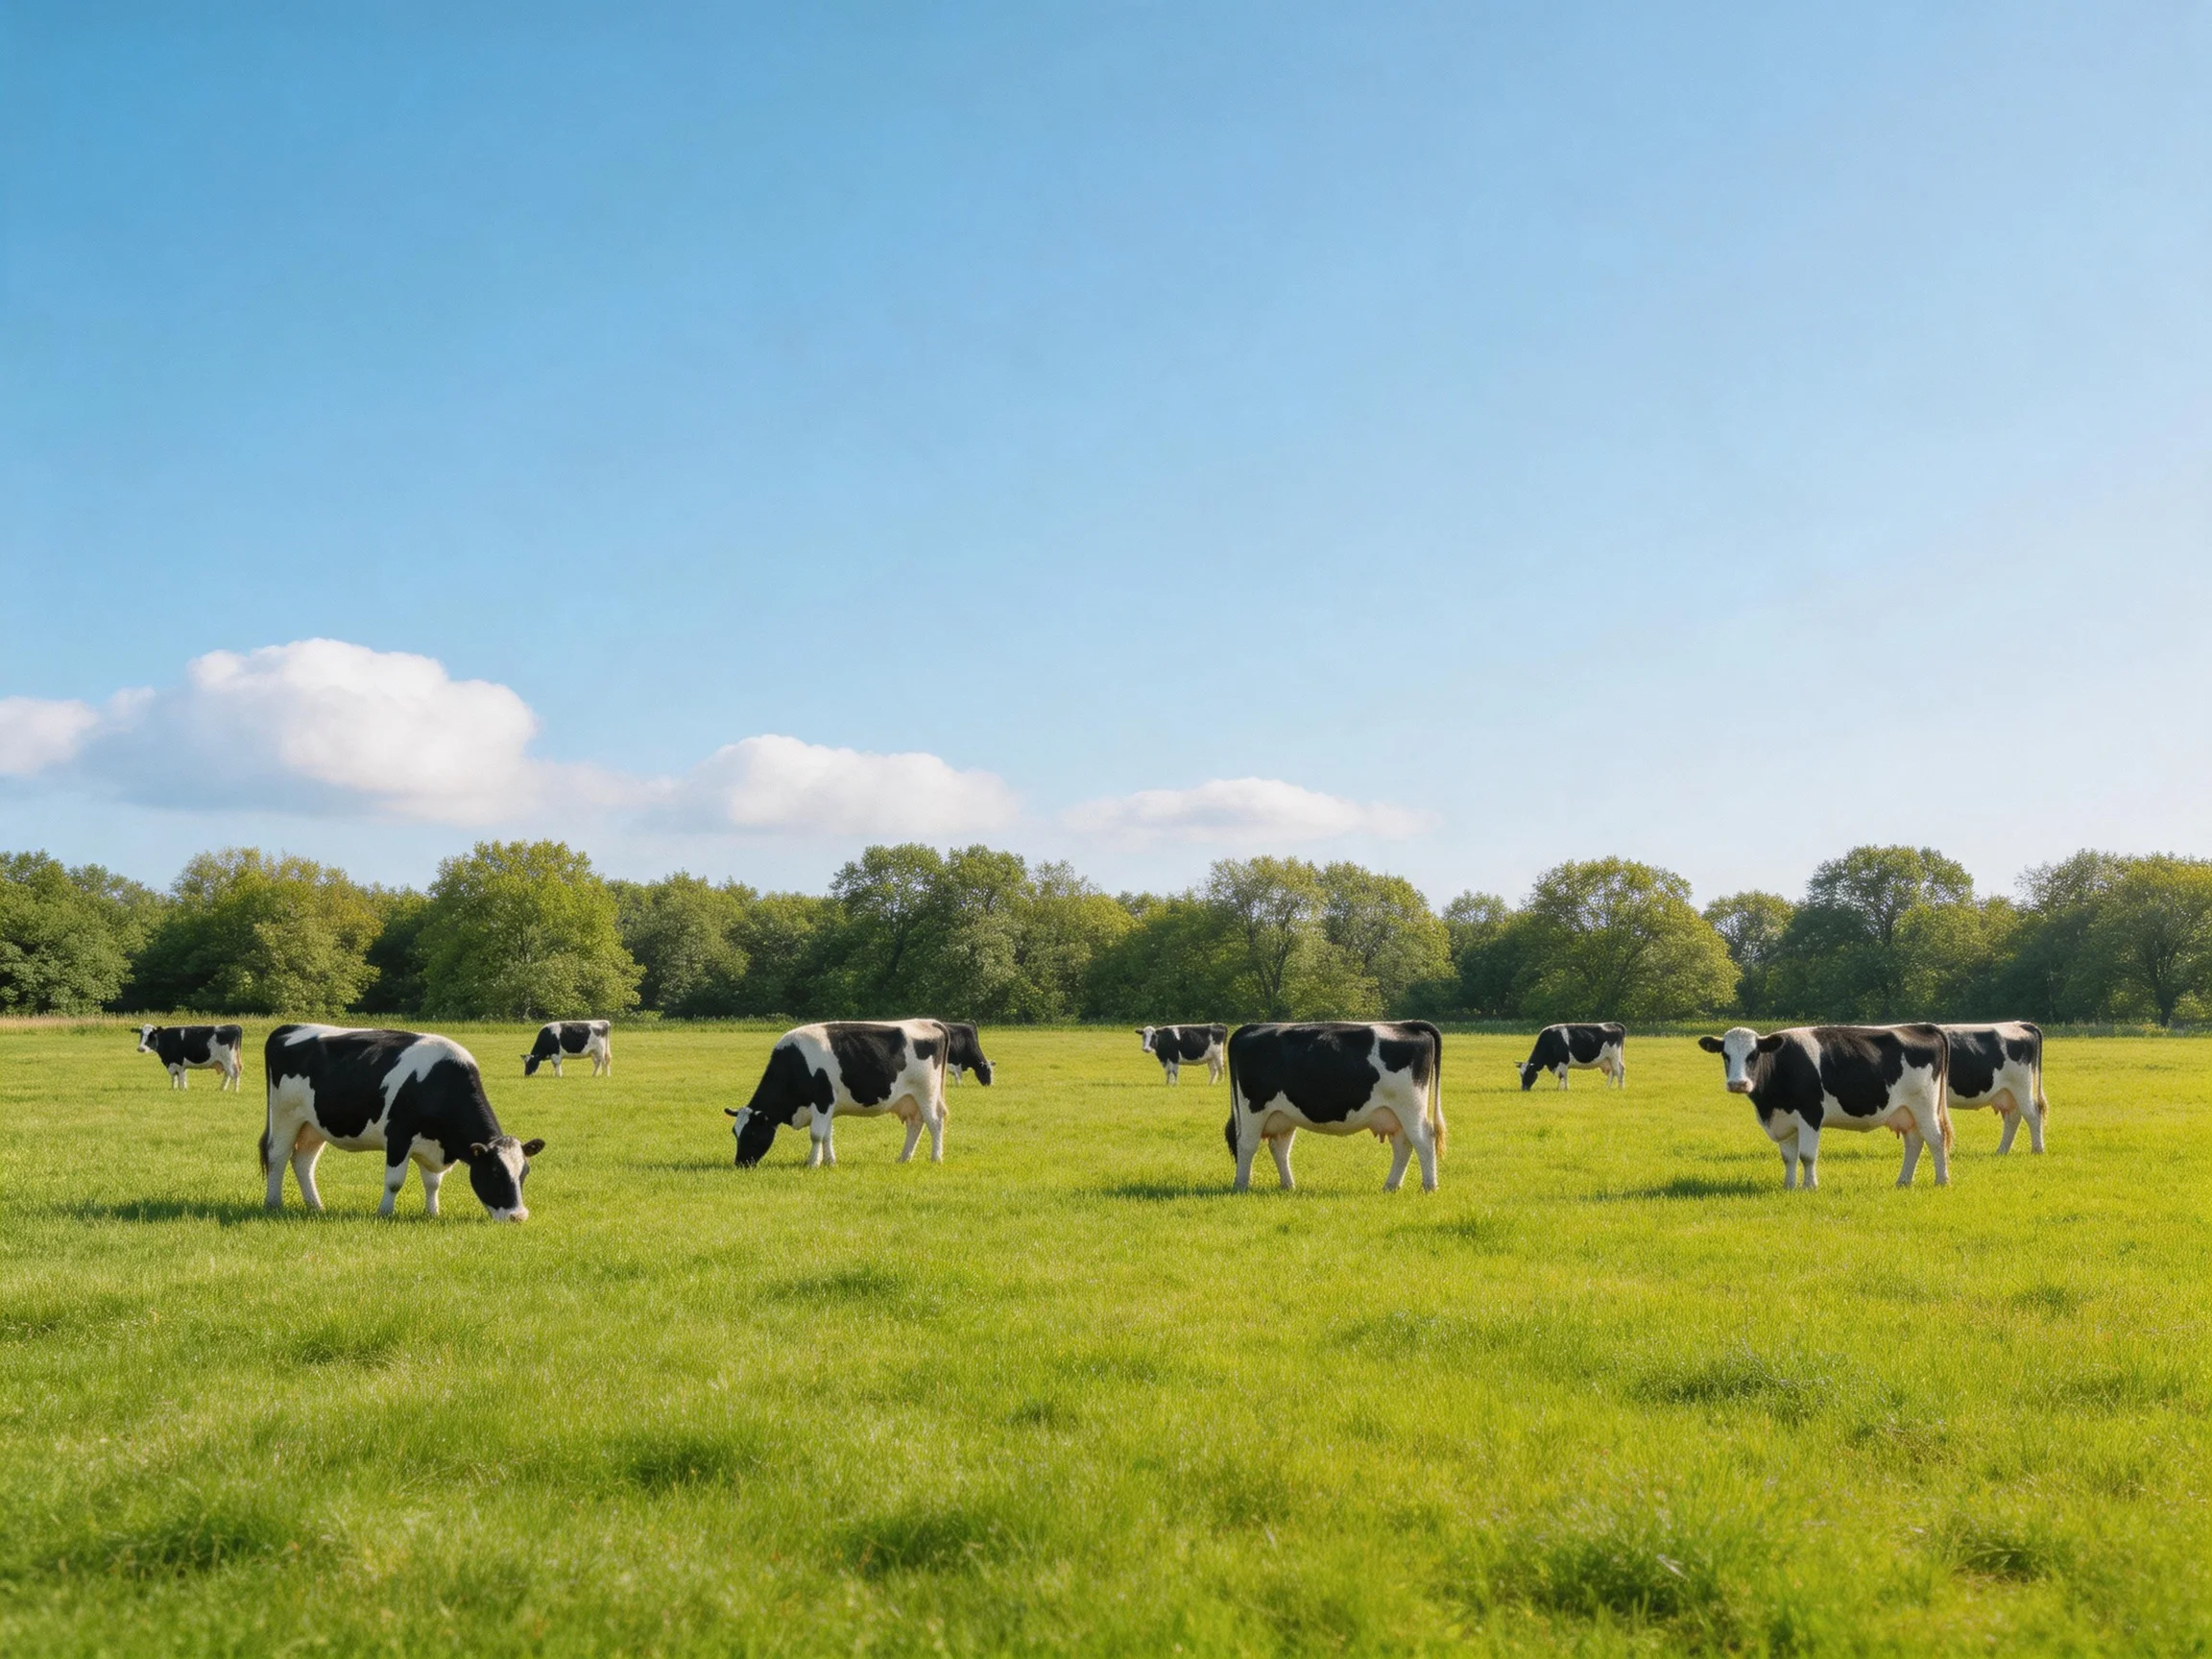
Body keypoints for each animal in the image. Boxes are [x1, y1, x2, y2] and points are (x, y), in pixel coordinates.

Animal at [261, 1024, 544, 1221]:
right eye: (495, 1172)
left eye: (525, 1172)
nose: (518, 1216)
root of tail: (288, 1028)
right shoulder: (398, 1135)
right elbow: (394, 1181)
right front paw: (384, 1213)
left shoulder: (433, 1145)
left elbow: (433, 1183)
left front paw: (432, 1213)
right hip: (285, 1115)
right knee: (277, 1156)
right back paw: (273, 1204)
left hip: (313, 1125)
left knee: (303, 1161)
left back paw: (316, 1206)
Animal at [726, 1020, 993, 1167]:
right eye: (735, 1133)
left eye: (752, 1132)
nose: (740, 1163)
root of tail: (933, 1023)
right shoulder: (827, 1106)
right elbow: (827, 1135)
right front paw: (830, 1162)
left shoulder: (823, 1101)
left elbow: (816, 1135)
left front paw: (812, 1163)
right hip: (909, 1098)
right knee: (915, 1124)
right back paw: (904, 1158)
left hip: (926, 1092)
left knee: (935, 1122)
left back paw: (936, 1157)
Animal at [1224, 1022, 1446, 1193]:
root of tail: (1406, 1025)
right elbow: (1279, 1148)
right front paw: (1283, 1185)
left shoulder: (1254, 1107)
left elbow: (1247, 1144)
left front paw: (1241, 1186)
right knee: (1403, 1145)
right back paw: (1391, 1186)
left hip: (1410, 1107)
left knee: (1423, 1140)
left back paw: (1429, 1186)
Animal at [1698, 1024, 1952, 1189]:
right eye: (1725, 1054)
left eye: (1754, 1054)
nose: (1738, 1084)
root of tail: (1923, 1026)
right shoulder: (1784, 1120)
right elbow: (1788, 1157)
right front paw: (1788, 1186)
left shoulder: (1810, 1114)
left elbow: (1807, 1155)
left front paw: (1809, 1186)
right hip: (1905, 1111)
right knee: (1914, 1142)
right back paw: (1903, 1181)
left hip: (1924, 1106)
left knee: (1936, 1139)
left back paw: (1942, 1181)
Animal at [1939, 1022, 2051, 1153]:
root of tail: (2019, 1024)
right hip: (2007, 1092)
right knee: (2013, 1117)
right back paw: (2002, 1150)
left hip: (2022, 1086)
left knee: (2032, 1114)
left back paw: (2037, 1149)